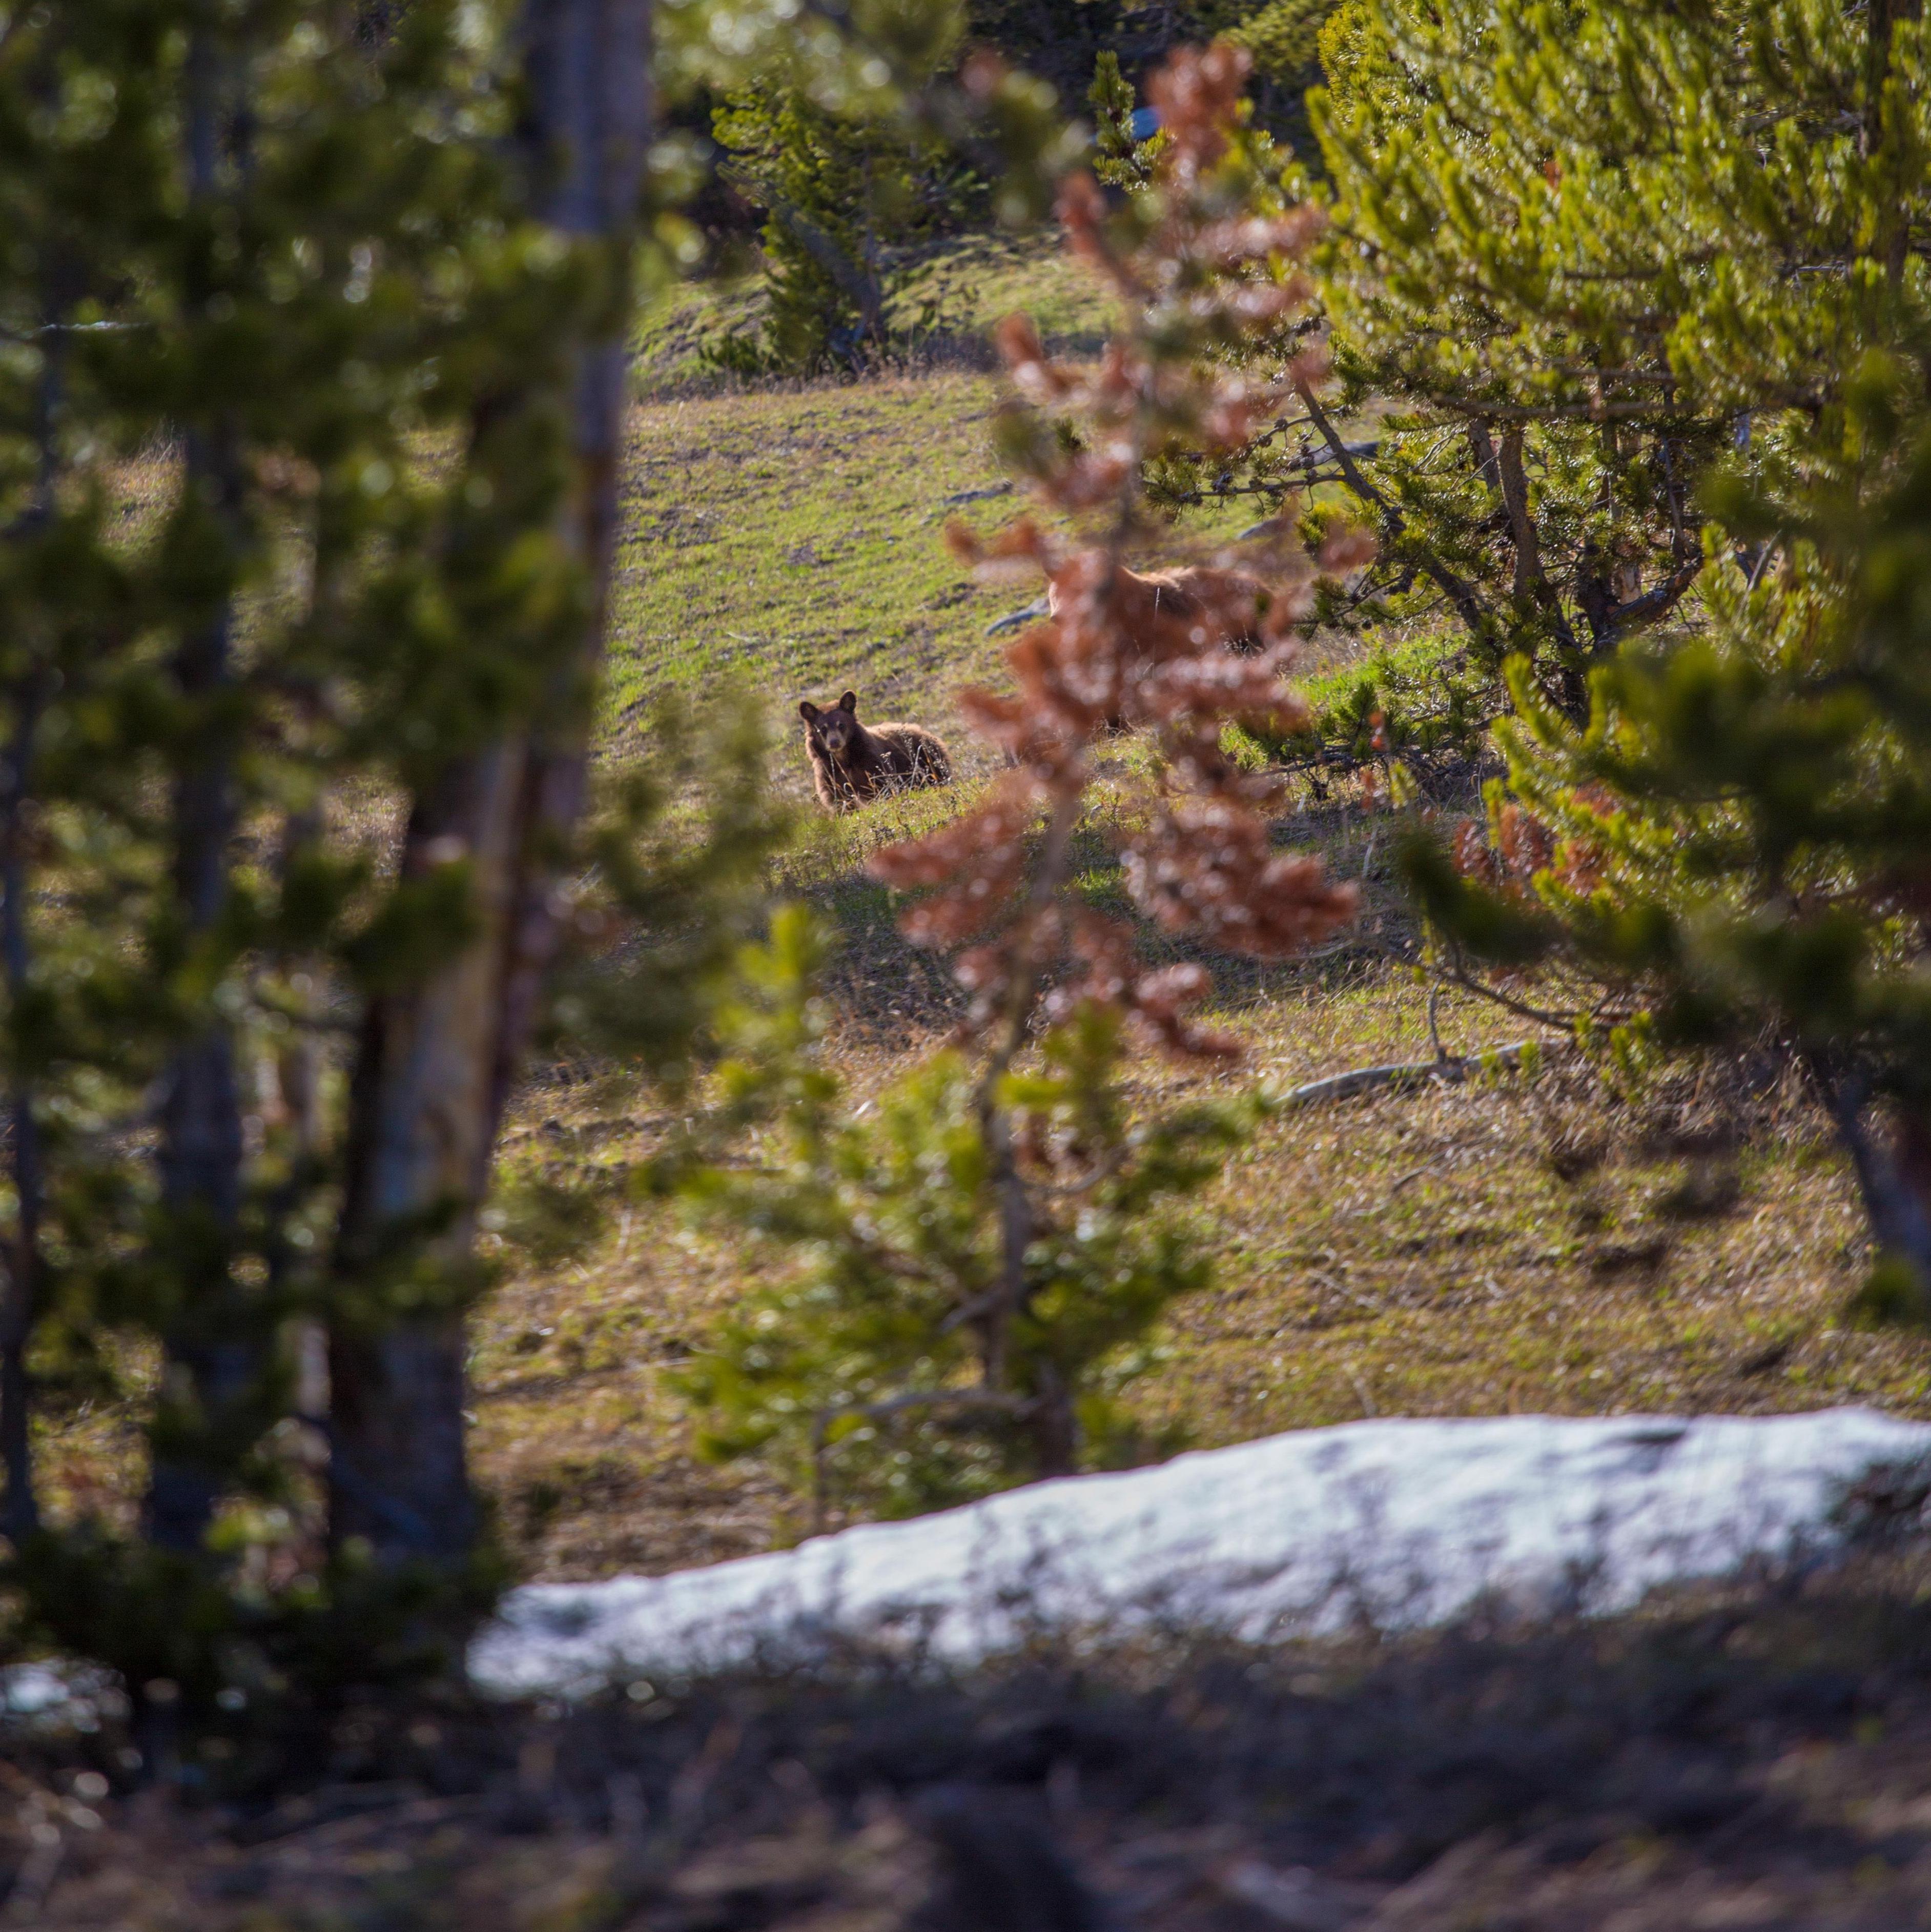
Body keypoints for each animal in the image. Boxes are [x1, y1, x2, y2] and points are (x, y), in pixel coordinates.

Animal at [798, 691, 953, 812]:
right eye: (822, 729)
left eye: (841, 725)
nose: (834, 742)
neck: (844, 759)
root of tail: (926, 733)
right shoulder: (829, 773)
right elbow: (839, 799)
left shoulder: (871, 763)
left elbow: (881, 787)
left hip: (927, 762)